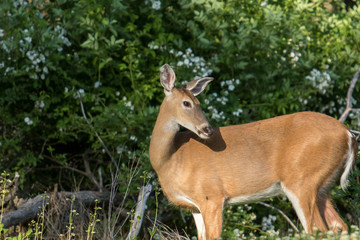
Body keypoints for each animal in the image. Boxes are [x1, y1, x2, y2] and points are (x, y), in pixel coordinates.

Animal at [148, 64, 358, 240]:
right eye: (187, 103)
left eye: (198, 102)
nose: (208, 129)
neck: (170, 159)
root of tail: (348, 134)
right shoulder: (195, 207)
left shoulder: (212, 195)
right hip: (323, 186)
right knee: (339, 226)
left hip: (302, 181)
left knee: (317, 230)